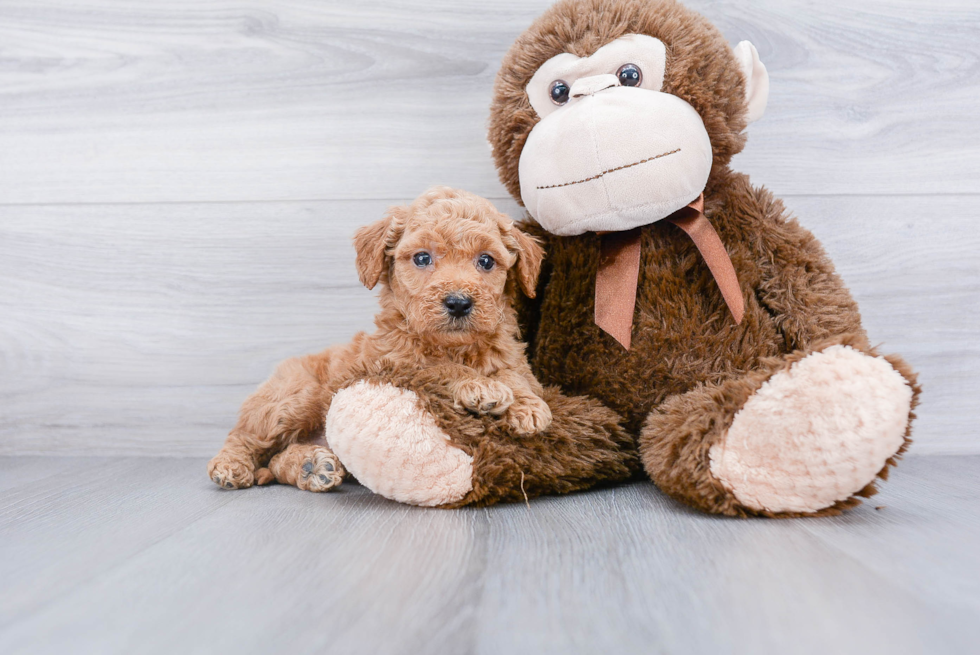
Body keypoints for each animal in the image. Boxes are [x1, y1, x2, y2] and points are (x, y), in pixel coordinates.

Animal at [208, 184, 552, 492]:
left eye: (486, 261)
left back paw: (312, 466)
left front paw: (528, 406)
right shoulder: (393, 362)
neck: (454, 347)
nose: (458, 303)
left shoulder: (511, 358)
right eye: (422, 258)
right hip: (295, 397)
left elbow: (516, 376)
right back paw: (231, 466)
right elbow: (437, 368)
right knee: (245, 437)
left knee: (278, 458)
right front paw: (479, 385)